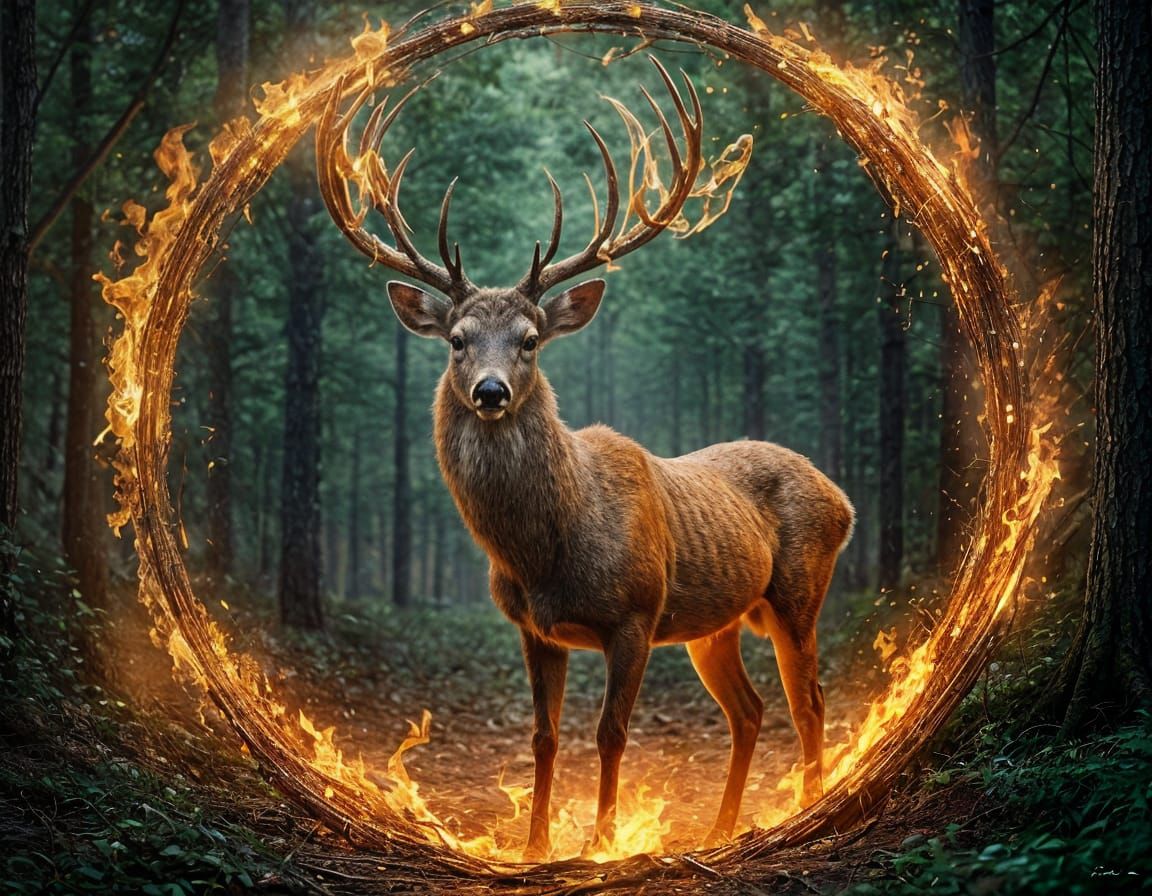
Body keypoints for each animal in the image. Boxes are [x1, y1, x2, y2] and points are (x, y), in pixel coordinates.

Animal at [315, 59, 855, 861]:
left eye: (531, 338)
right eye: (457, 340)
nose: (492, 391)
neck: (547, 551)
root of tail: (845, 499)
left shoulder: (634, 613)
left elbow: (610, 733)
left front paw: (599, 844)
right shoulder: (533, 627)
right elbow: (542, 738)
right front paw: (535, 844)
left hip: (795, 592)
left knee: (809, 701)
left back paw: (802, 808)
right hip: (714, 624)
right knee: (752, 709)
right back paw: (721, 826)